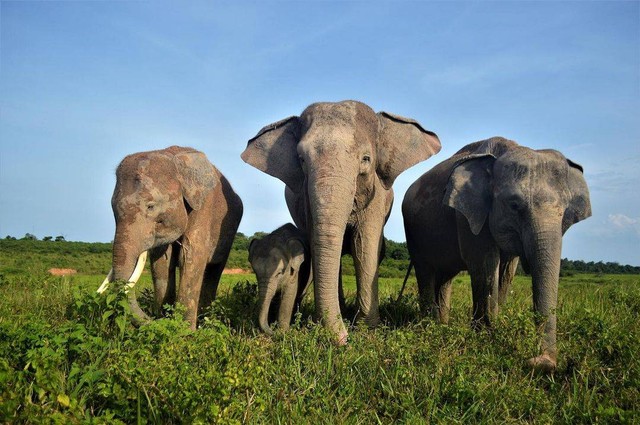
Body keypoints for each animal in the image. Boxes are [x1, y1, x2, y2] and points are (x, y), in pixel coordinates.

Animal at [240, 101, 440, 342]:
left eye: (366, 159)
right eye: (301, 160)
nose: (344, 339)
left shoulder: (376, 195)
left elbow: (364, 246)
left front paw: (367, 329)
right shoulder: (306, 198)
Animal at [402, 137, 592, 372]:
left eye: (564, 212)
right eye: (514, 205)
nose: (541, 362)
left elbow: (507, 271)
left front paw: (492, 332)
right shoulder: (468, 215)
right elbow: (484, 264)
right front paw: (484, 338)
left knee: (445, 277)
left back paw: (442, 325)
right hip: (415, 234)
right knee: (426, 272)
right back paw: (431, 327)